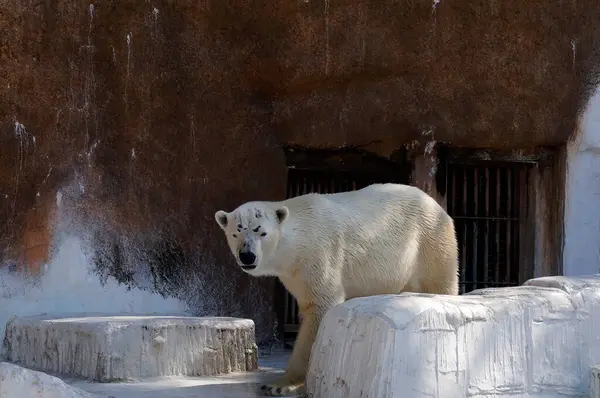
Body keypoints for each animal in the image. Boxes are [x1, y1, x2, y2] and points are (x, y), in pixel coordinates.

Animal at [216, 183, 460, 394]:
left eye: (261, 232)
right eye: (236, 233)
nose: (247, 256)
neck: (297, 241)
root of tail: (437, 206)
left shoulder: (319, 255)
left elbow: (320, 307)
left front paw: (280, 384)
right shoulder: (295, 273)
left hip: (429, 241)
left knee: (440, 281)